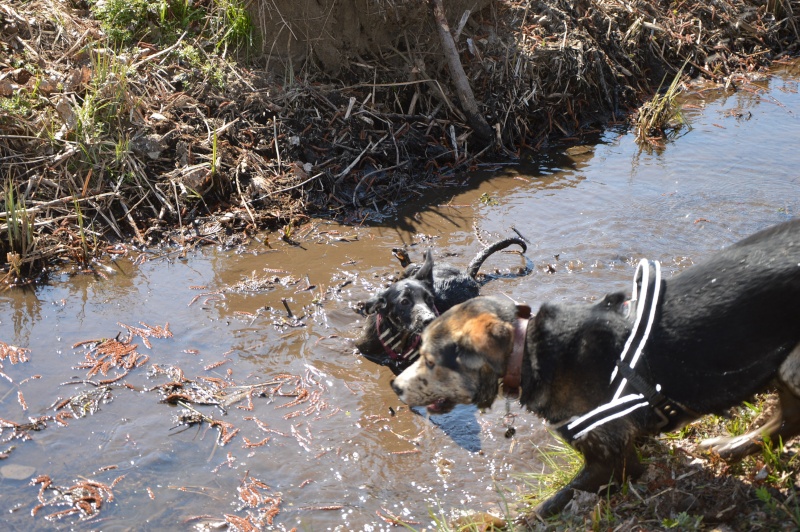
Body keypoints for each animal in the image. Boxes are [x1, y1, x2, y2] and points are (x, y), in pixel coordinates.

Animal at [354, 239, 528, 372]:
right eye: (404, 302)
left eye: (430, 299)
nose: (430, 319)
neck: (400, 336)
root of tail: (468, 275)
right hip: (411, 269)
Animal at [390, 219, 800, 520]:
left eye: (430, 360)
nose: (394, 387)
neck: (535, 354)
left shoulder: (610, 460)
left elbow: (550, 504)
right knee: (787, 419)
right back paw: (733, 446)